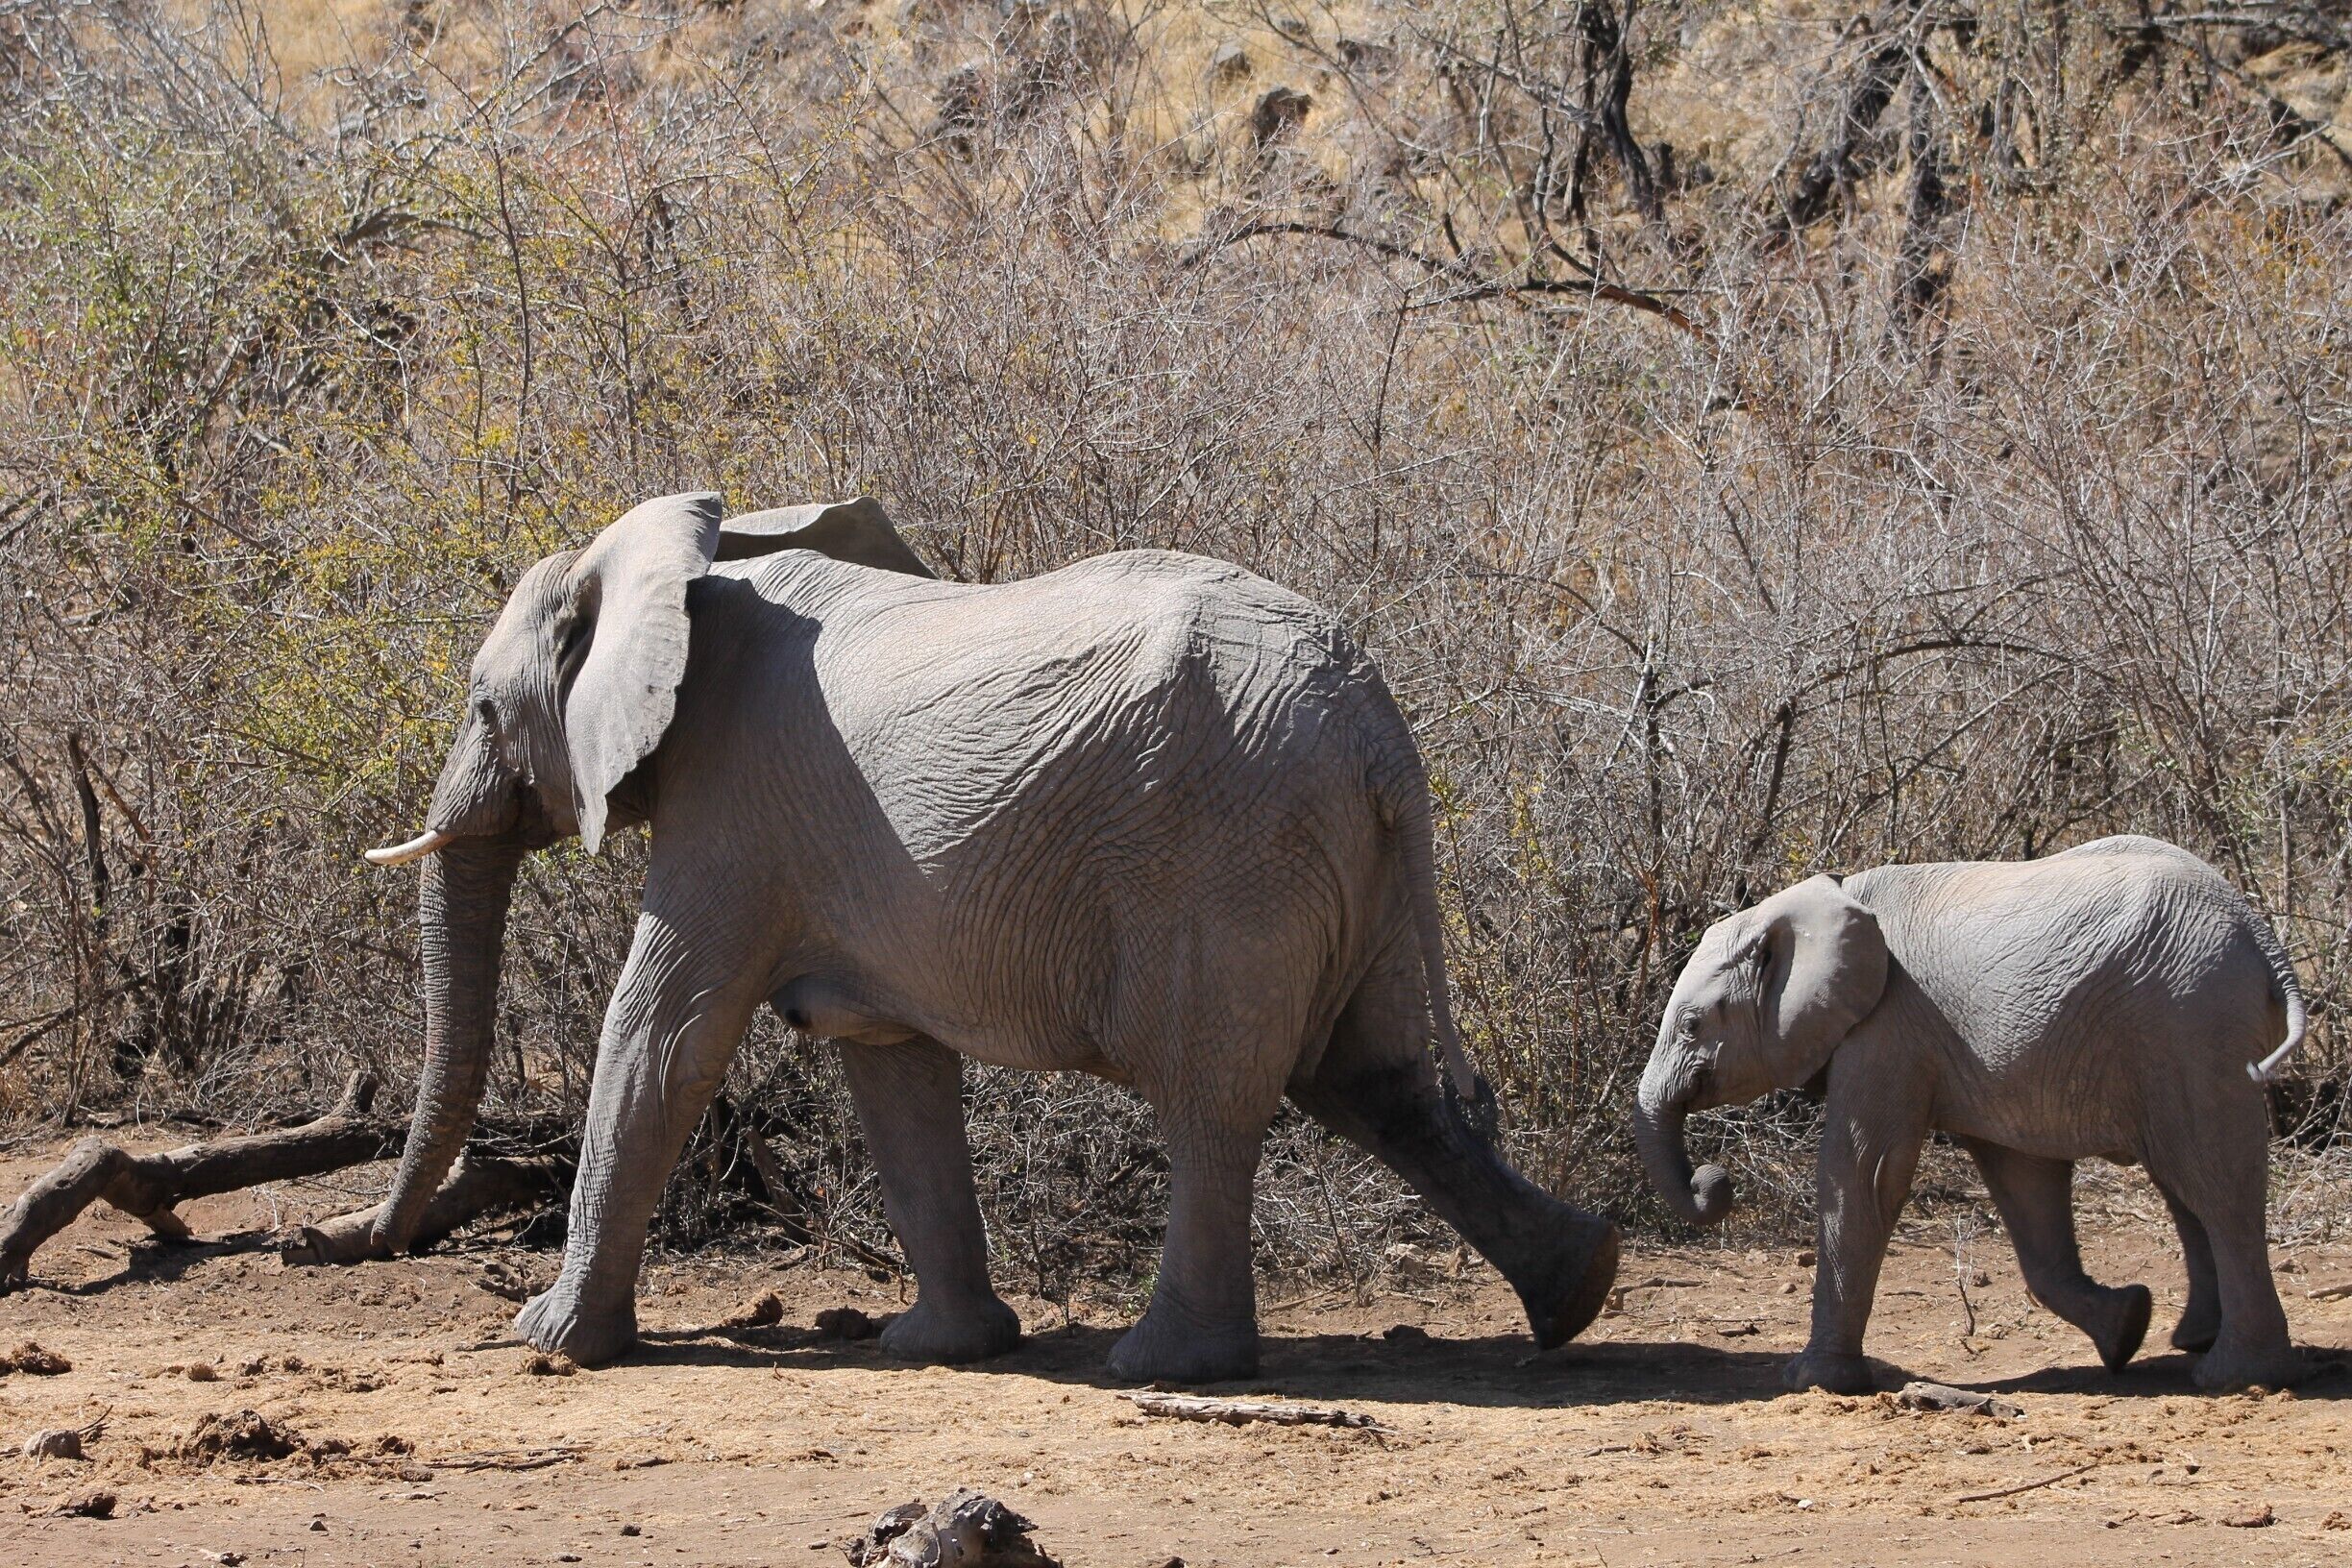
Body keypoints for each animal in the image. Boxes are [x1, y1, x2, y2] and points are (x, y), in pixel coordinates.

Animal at [317, 491, 1621, 1383]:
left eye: (483, 706)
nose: (348, 1243)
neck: (697, 561)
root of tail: (1382, 732)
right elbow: (891, 1068)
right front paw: (943, 1347)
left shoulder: (732, 814)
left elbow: (659, 1036)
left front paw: (548, 1342)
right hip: (1343, 856)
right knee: (1379, 1085)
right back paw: (1579, 1294)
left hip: (1233, 851)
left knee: (1216, 1100)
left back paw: (1163, 1368)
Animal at [1633, 836, 2305, 1394]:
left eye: (1691, 1025)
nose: (1714, 1181)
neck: (1823, 899)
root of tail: (2262, 934)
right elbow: (2025, 1186)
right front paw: (2125, 1329)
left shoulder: (1888, 1026)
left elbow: (1863, 1178)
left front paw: (1813, 1381)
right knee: (2183, 1184)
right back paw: (2191, 1342)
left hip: (2193, 1020)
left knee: (2216, 1183)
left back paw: (2234, 1377)